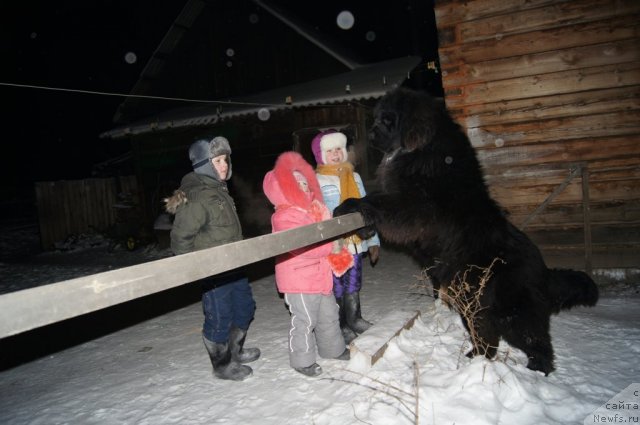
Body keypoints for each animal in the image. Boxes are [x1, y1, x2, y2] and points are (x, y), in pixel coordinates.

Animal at [336, 87, 600, 374]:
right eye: (376, 118)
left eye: (387, 120)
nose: (371, 134)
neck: (423, 150)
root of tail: (544, 271)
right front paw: (363, 227)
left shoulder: (414, 205)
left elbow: (378, 202)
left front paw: (349, 205)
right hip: (474, 305)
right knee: (489, 338)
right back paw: (476, 357)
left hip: (511, 313)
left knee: (536, 342)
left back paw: (535, 369)